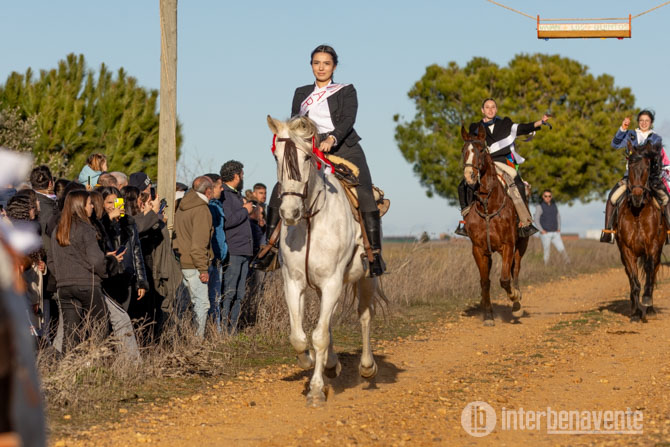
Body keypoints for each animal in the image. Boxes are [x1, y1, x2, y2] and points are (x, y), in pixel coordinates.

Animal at [266, 115, 384, 406]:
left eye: (308, 157)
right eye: (276, 156)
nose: (290, 212)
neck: (311, 221)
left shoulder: (332, 282)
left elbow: (318, 336)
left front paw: (317, 390)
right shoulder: (294, 282)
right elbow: (299, 337)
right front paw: (308, 361)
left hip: (367, 279)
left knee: (364, 316)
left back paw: (367, 367)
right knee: (327, 321)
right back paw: (330, 364)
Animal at [461, 124, 529, 326]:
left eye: (482, 150)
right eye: (463, 151)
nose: (469, 176)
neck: (487, 205)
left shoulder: (508, 245)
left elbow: (505, 279)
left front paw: (515, 300)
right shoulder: (479, 249)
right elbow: (485, 282)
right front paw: (488, 315)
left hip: (521, 246)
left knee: (515, 270)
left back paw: (517, 302)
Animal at [614, 141, 667, 322]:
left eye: (647, 167)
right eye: (630, 165)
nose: (637, 196)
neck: (637, 211)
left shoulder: (652, 247)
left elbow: (649, 274)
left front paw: (647, 301)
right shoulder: (626, 250)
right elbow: (634, 281)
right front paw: (636, 313)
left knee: (654, 271)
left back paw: (649, 308)